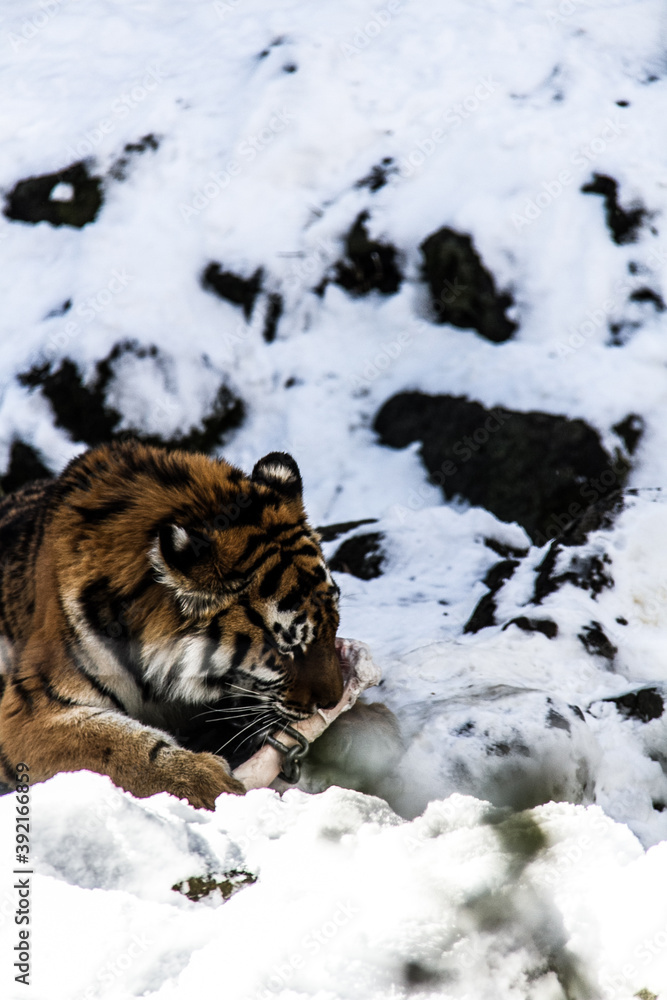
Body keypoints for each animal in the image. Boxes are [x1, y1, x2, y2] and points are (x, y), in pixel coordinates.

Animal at [0, 439, 343, 809]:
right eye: (286, 647)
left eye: (335, 623)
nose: (334, 701)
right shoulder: (27, 708)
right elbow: (115, 744)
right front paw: (209, 783)